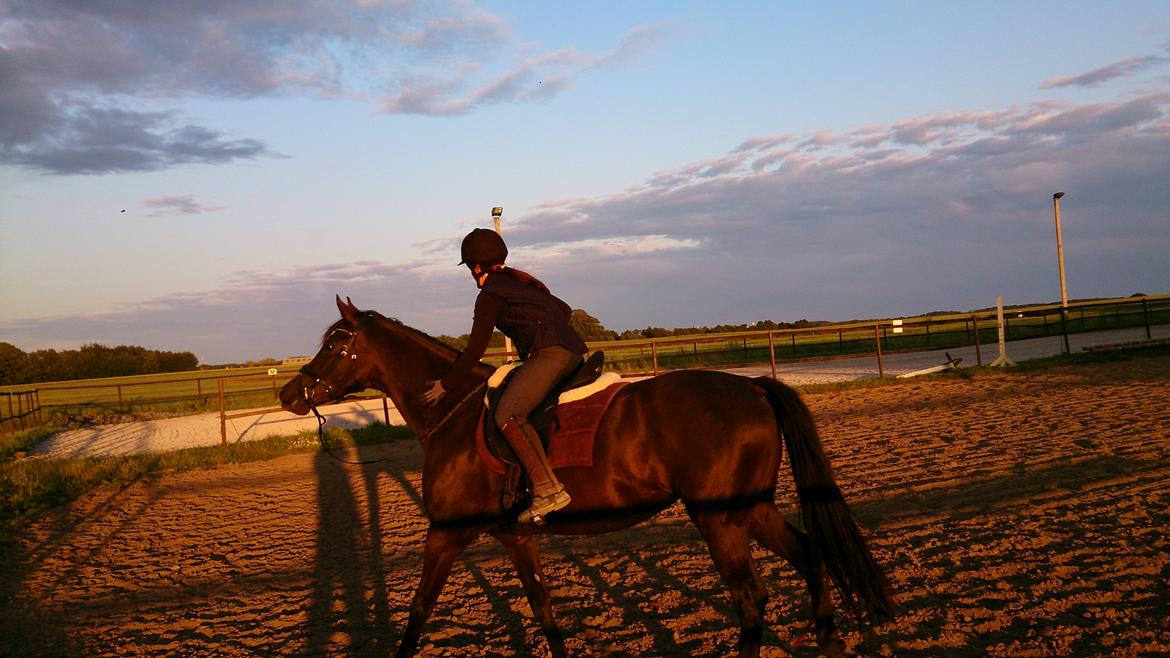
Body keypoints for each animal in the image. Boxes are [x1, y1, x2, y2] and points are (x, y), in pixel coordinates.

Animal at [278, 297, 889, 655]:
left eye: (335, 342)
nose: (289, 393)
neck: (452, 411)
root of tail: (754, 386)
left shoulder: (446, 534)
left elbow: (417, 612)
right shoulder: (515, 534)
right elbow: (544, 610)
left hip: (718, 519)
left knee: (751, 598)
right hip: (749, 507)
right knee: (808, 553)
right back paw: (830, 642)